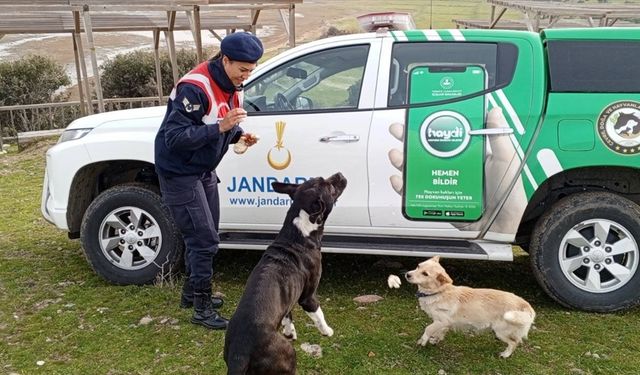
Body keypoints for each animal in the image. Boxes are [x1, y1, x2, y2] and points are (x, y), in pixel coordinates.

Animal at [224, 173, 348, 375]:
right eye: (329, 186)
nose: (339, 174)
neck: (299, 232)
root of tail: (240, 352)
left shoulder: (289, 295)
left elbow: (288, 314)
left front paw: (290, 331)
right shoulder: (308, 297)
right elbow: (318, 314)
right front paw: (327, 331)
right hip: (288, 354)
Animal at [404, 258, 536, 360]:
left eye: (425, 274)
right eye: (418, 266)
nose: (407, 274)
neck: (439, 292)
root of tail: (525, 305)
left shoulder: (442, 321)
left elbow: (428, 328)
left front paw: (423, 340)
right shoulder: (443, 323)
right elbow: (440, 331)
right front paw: (435, 339)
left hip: (500, 331)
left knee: (514, 342)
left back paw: (505, 354)